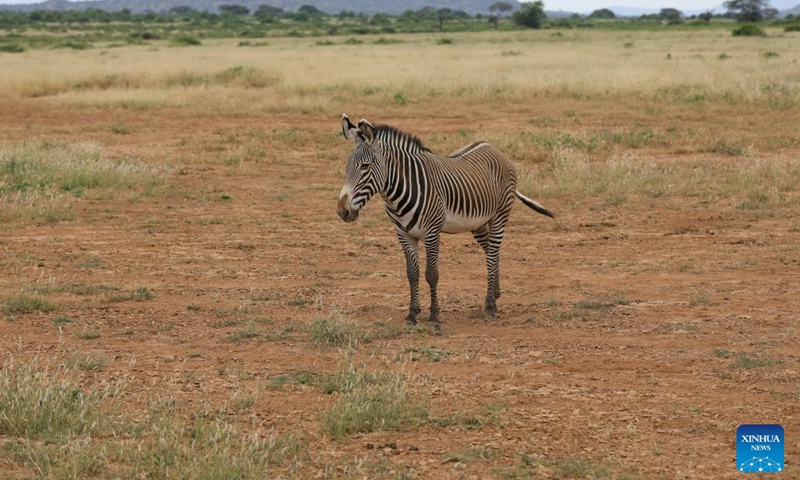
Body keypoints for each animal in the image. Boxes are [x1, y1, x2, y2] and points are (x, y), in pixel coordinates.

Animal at [336, 114, 553, 330]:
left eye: (365, 166)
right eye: (346, 167)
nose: (342, 211)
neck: (399, 193)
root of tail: (492, 146)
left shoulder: (432, 232)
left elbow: (431, 274)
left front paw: (434, 317)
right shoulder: (404, 234)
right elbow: (412, 273)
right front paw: (412, 315)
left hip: (500, 214)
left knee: (492, 253)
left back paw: (490, 305)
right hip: (478, 222)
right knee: (491, 251)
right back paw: (495, 294)